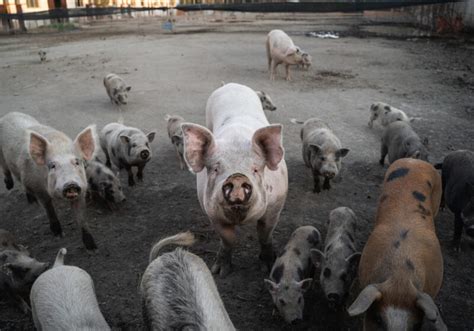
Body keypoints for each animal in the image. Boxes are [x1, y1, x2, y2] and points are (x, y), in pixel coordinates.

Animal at [0, 113, 98, 250]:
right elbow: (48, 208)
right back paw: (13, 189)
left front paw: (93, 247)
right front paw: (59, 234)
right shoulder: (38, 188)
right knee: (6, 168)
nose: (70, 184)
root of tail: (9, 114)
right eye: (52, 166)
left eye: (77, 162)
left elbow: (81, 218)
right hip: (2, 155)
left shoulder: (81, 190)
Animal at [181, 83, 286, 278]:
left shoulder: (275, 206)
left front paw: (267, 268)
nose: (237, 176)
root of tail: (231, 85)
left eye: (255, 169)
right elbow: (228, 240)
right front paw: (220, 272)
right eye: (215, 169)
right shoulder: (212, 212)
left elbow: (265, 235)